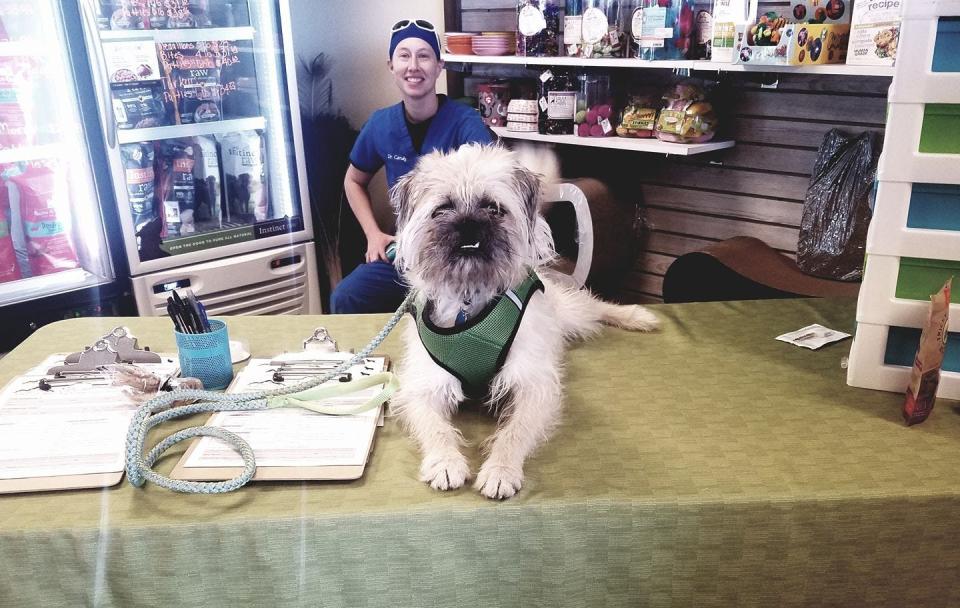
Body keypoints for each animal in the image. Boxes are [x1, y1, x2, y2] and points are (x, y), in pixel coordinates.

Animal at [390, 144, 660, 498]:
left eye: (493, 208)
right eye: (442, 209)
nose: (468, 225)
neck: (470, 298)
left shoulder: (533, 386)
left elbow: (514, 432)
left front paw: (500, 470)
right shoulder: (425, 386)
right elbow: (435, 427)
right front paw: (445, 462)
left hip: (570, 313)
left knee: (593, 307)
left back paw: (637, 316)